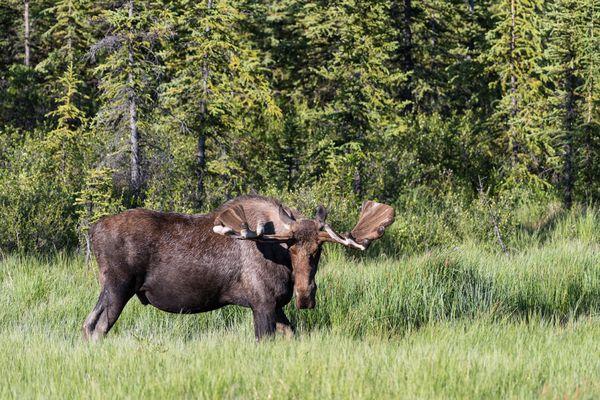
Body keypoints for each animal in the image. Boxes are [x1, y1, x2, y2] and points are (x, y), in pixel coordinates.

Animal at [83, 195, 394, 340]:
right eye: (291, 248)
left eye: (318, 250)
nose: (305, 297)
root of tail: (93, 230)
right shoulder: (262, 303)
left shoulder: (276, 306)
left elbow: (291, 334)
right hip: (119, 286)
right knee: (98, 326)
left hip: (110, 288)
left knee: (88, 324)